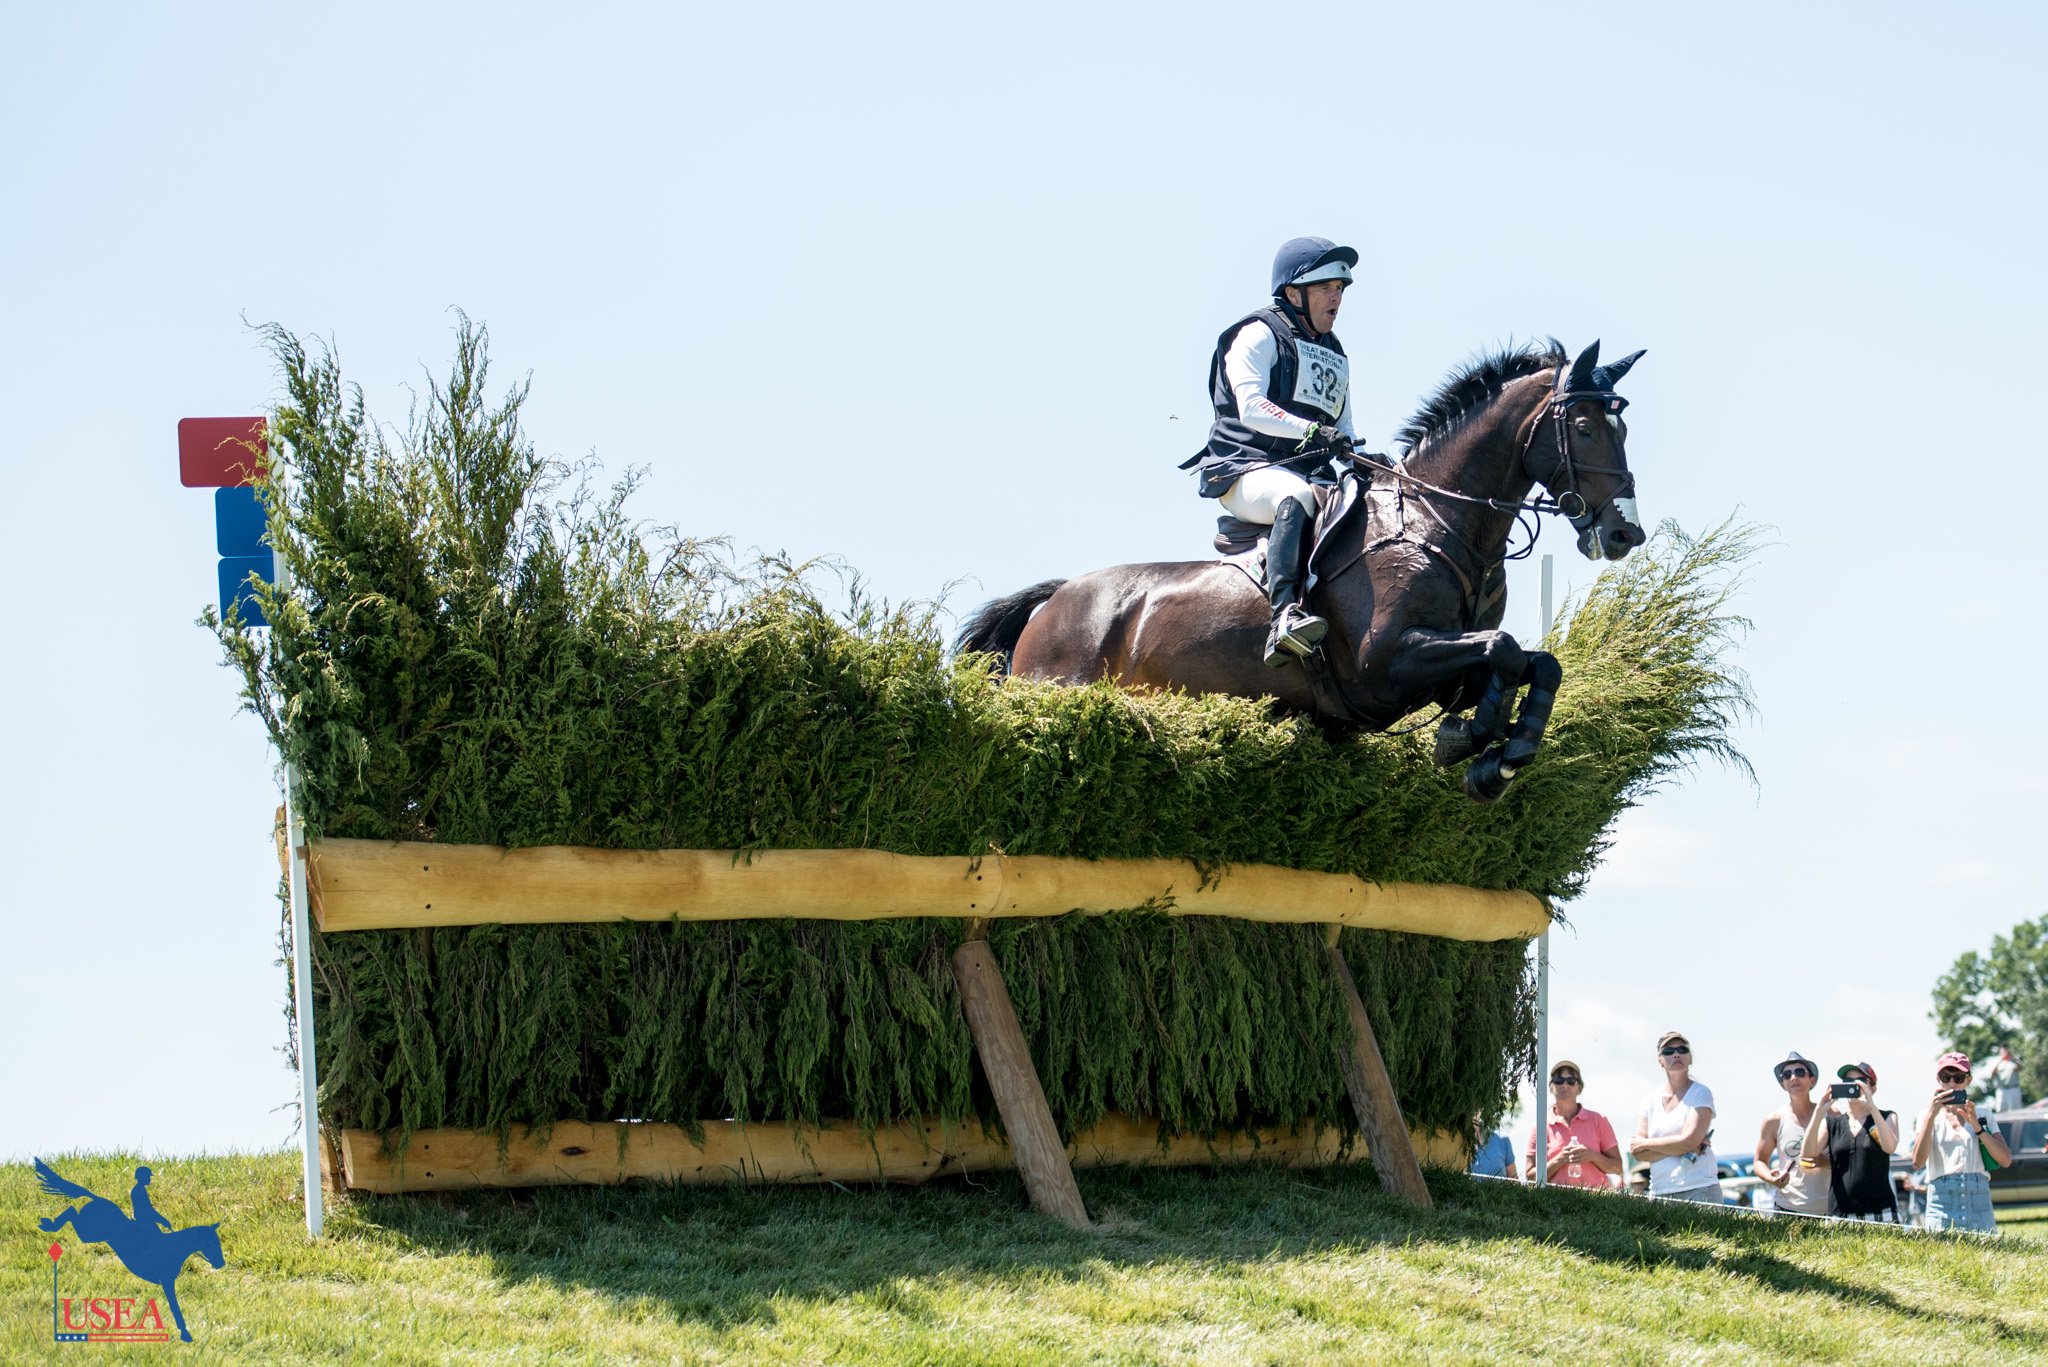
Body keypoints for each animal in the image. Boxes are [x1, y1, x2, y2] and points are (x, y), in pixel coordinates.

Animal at [36, 1160, 224, 1342]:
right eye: (211, 1243)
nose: (221, 1263)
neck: (176, 1248)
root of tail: (96, 1198)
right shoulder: (166, 1280)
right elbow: (174, 1306)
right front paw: (185, 1333)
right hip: (89, 1233)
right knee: (71, 1212)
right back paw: (49, 1224)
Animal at [957, 340, 1646, 802]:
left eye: (1624, 427)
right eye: (1584, 427)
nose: (1624, 533)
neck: (1438, 519)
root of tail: (1054, 601)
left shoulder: (1444, 666)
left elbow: (1532, 662)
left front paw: (1494, 752)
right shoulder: (1386, 664)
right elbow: (1502, 649)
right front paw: (1475, 744)